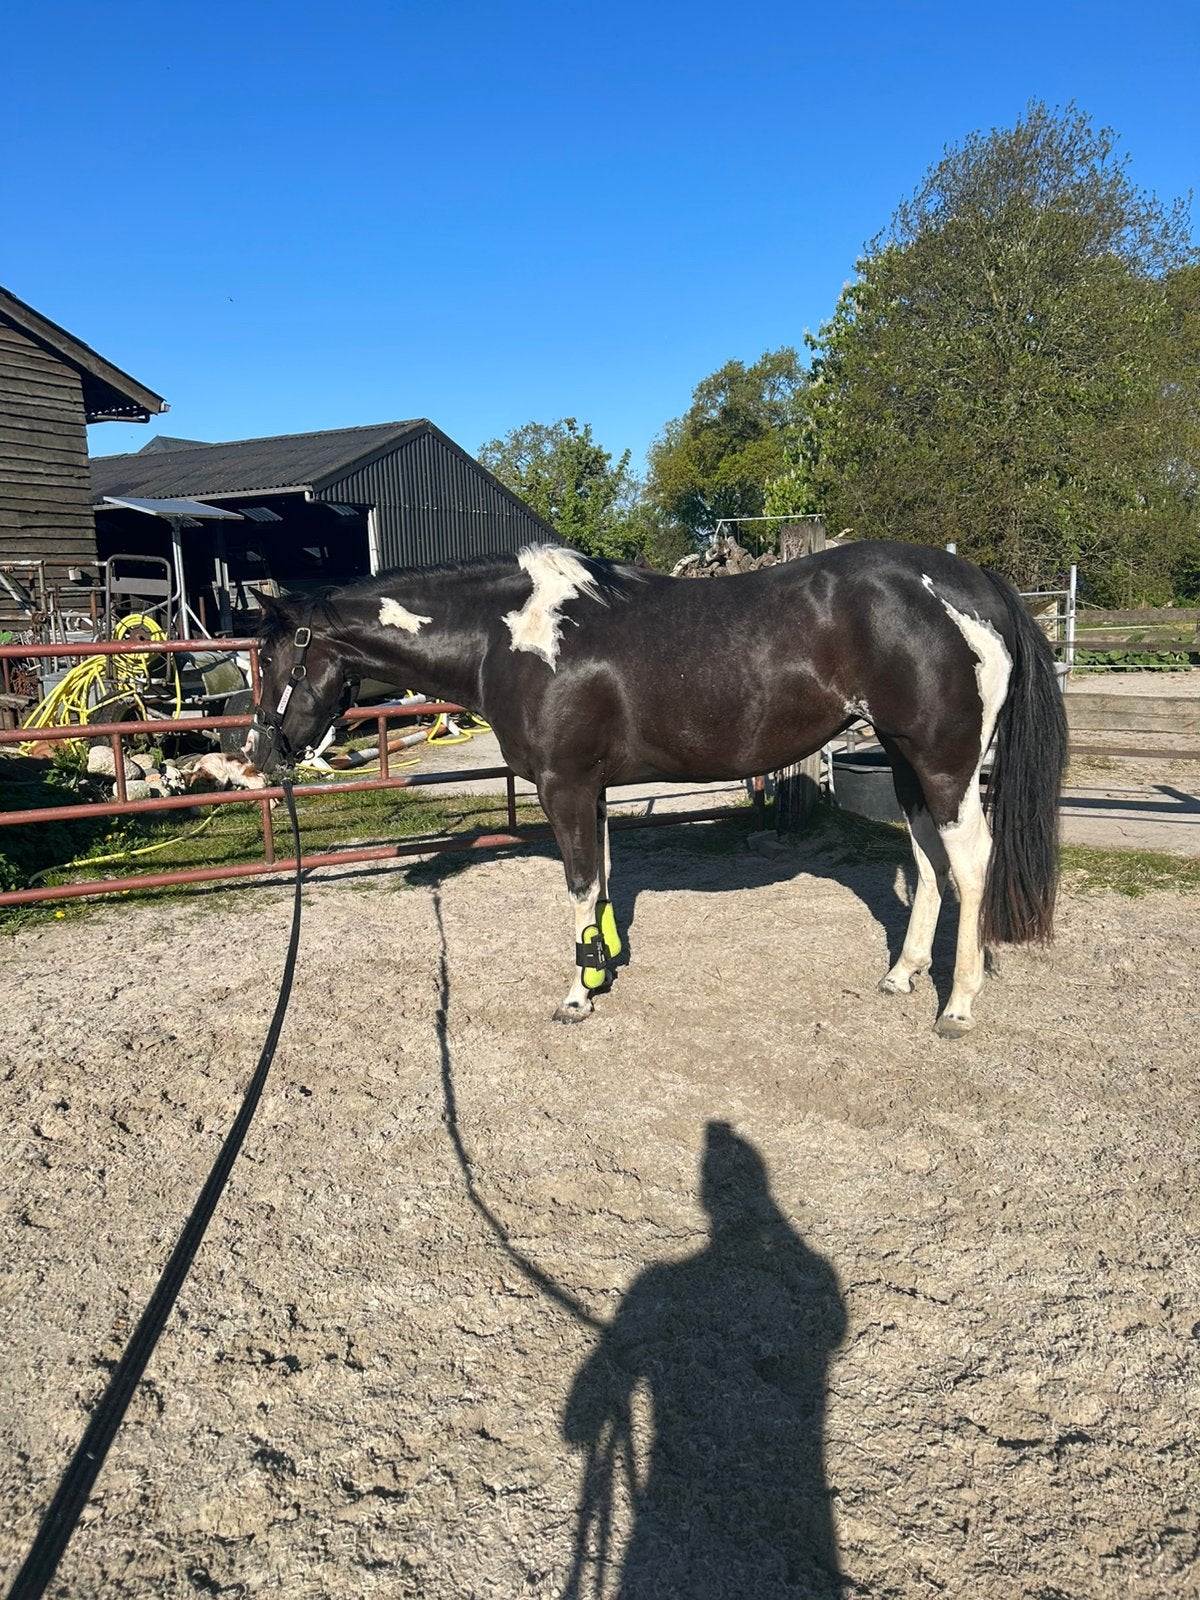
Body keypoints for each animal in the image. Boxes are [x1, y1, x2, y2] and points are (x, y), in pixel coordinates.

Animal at [245, 540, 1068, 1037]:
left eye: (276, 656)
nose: (261, 753)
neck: (510, 635)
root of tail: (975, 584)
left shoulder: (565, 784)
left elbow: (581, 883)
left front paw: (577, 995)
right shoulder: (593, 787)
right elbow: (604, 878)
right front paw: (602, 965)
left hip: (944, 762)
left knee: (970, 861)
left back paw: (957, 1005)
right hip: (904, 759)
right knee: (928, 859)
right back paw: (902, 975)